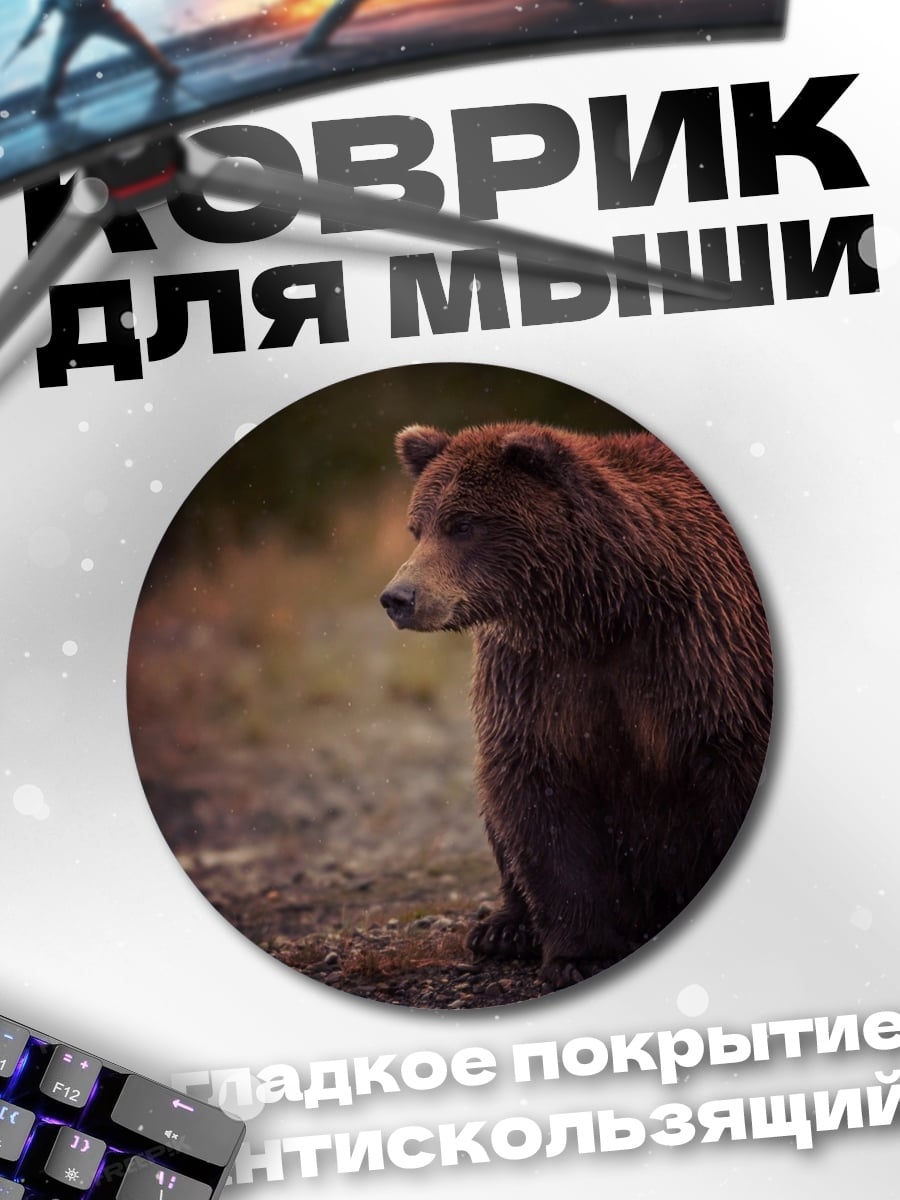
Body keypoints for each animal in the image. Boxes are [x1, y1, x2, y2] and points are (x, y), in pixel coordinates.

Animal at [379, 422, 773, 990]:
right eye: (417, 528)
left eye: (462, 524)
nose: (399, 598)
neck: (598, 611)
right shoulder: (536, 676)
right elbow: (537, 791)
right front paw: (578, 953)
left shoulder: (698, 651)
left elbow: (728, 762)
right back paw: (502, 929)